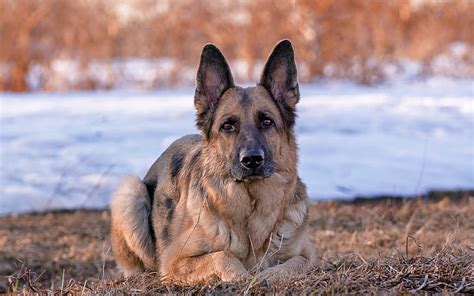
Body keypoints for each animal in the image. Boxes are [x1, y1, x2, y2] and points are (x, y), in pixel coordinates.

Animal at [111, 40, 314, 284]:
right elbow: (222, 256)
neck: (250, 208)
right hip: (130, 192)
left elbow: (296, 263)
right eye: (227, 126)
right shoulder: (173, 262)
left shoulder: (308, 257)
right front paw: (242, 276)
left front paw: (268, 276)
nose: (252, 160)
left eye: (267, 121)